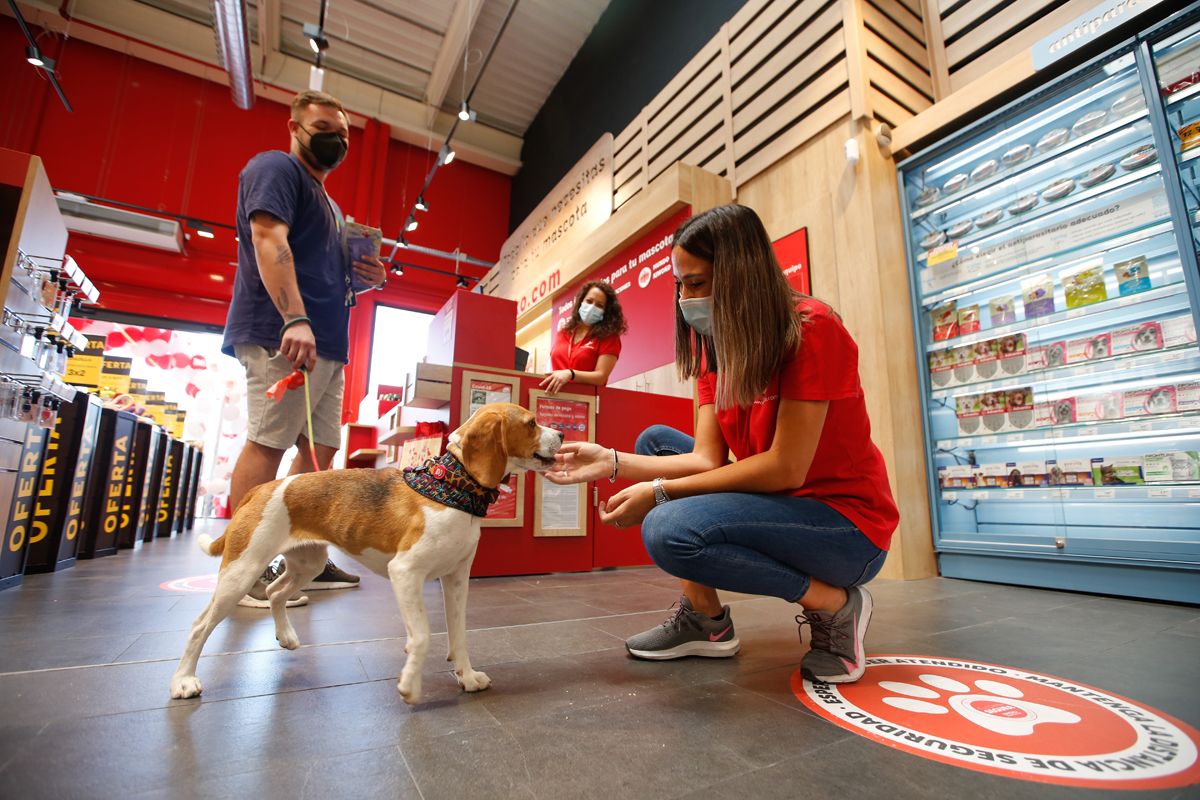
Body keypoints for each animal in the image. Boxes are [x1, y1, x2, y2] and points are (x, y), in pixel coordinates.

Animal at [171, 407, 564, 705]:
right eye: (531, 422)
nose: (561, 432)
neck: (453, 487)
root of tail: (262, 489)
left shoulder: (455, 579)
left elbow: (459, 635)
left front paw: (466, 676)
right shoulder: (405, 572)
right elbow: (422, 636)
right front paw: (410, 685)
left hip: (308, 564)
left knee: (275, 592)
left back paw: (286, 635)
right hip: (241, 572)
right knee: (200, 625)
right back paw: (184, 681)